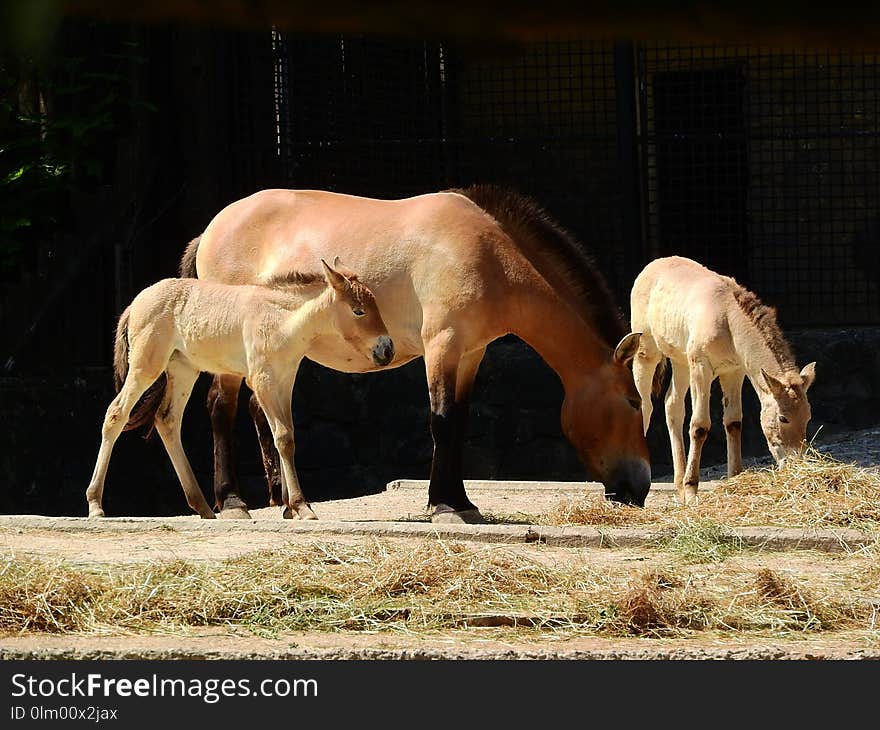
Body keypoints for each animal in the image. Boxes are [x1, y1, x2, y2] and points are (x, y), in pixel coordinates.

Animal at [86, 258, 392, 520]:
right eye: (358, 310)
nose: (386, 350)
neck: (281, 320)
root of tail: (135, 303)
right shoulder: (262, 380)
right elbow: (283, 437)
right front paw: (301, 506)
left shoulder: (284, 381)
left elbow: (287, 435)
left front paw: (290, 507)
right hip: (145, 366)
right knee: (116, 414)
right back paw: (96, 505)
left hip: (183, 371)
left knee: (167, 421)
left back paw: (202, 506)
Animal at [134, 185, 648, 520]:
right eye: (631, 401)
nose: (641, 487)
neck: (489, 256)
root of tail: (211, 229)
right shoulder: (442, 344)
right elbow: (441, 421)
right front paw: (443, 506)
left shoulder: (471, 353)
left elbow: (459, 422)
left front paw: (462, 501)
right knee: (221, 409)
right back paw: (233, 503)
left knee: (260, 414)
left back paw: (282, 500)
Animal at [628, 253, 816, 504]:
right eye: (783, 418)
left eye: (808, 417)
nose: (797, 463)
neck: (727, 317)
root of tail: (653, 265)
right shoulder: (701, 367)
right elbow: (699, 425)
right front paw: (691, 491)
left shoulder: (733, 372)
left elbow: (733, 422)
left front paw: (734, 477)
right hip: (647, 353)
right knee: (645, 406)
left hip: (681, 362)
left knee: (672, 405)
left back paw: (678, 487)